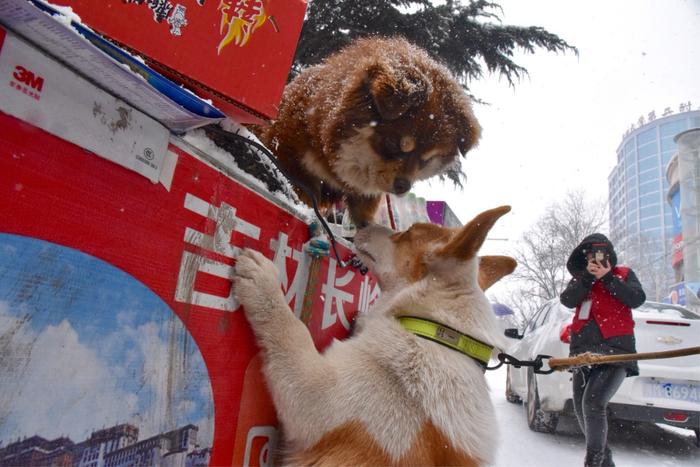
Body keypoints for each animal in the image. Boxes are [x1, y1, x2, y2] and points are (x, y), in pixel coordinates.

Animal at [235, 207, 516, 466]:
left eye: (409, 231)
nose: (362, 221)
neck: (434, 329)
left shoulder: (314, 398)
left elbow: (293, 330)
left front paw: (263, 281)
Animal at [256, 36, 482, 225]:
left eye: (425, 160)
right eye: (392, 144)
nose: (403, 186)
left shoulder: (365, 195)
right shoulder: (291, 164)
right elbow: (302, 193)